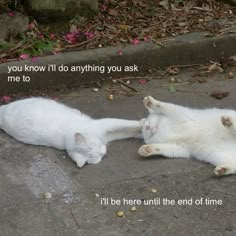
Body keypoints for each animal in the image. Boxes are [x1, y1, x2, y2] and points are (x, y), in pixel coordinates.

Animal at [0, 97, 143, 168]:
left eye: (96, 147)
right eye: (97, 156)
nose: (103, 152)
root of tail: (3, 110)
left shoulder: (105, 126)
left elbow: (125, 124)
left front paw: (141, 125)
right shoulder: (106, 133)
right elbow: (124, 131)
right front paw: (140, 131)